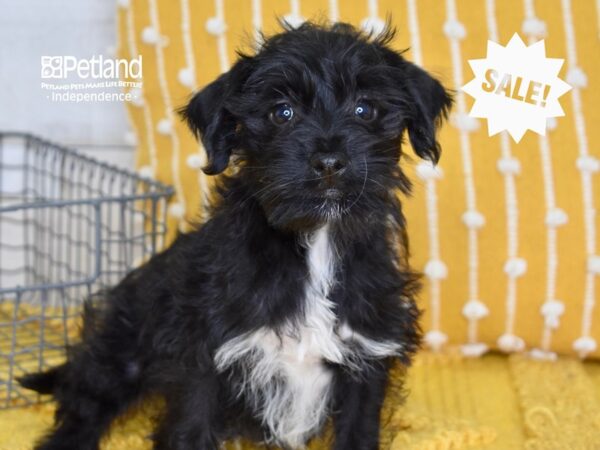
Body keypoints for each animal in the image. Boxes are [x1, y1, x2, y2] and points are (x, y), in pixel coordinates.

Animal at [21, 22, 450, 450]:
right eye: (282, 113)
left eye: (365, 109)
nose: (329, 161)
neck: (316, 244)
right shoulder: (203, 358)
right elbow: (189, 430)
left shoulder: (367, 357)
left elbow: (358, 431)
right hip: (121, 348)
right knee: (86, 401)